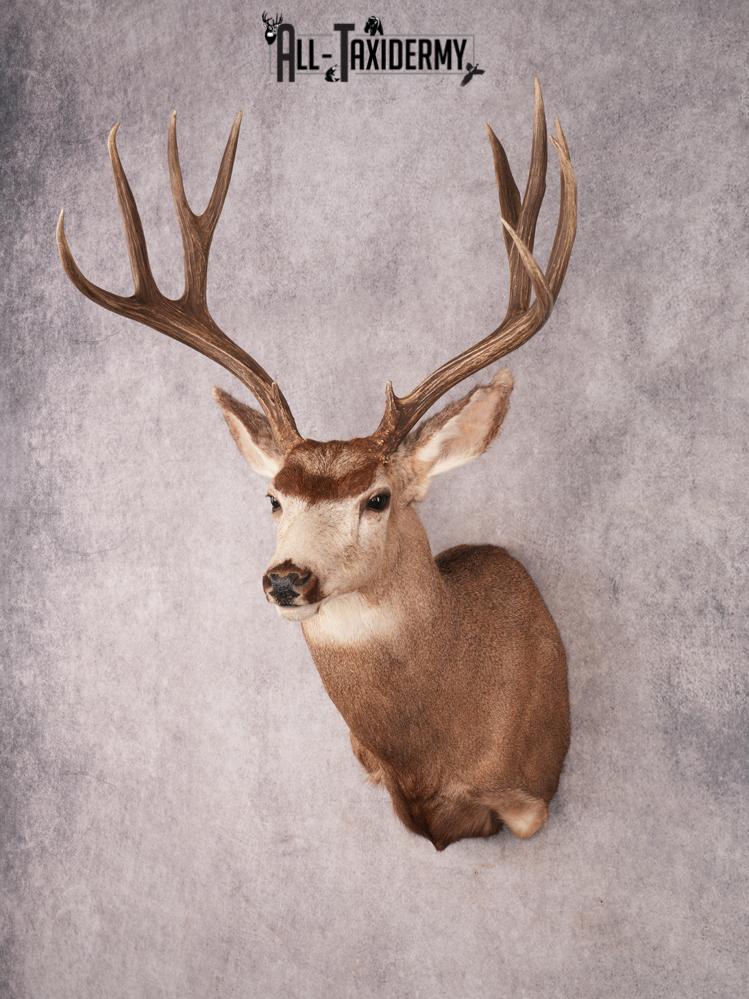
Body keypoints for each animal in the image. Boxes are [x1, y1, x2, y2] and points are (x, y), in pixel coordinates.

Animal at [57, 79, 577, 851]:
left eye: (379, 497)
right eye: (273, 498)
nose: (286, 578)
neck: (437, 752)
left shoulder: (528, 795)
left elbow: (523, 809)